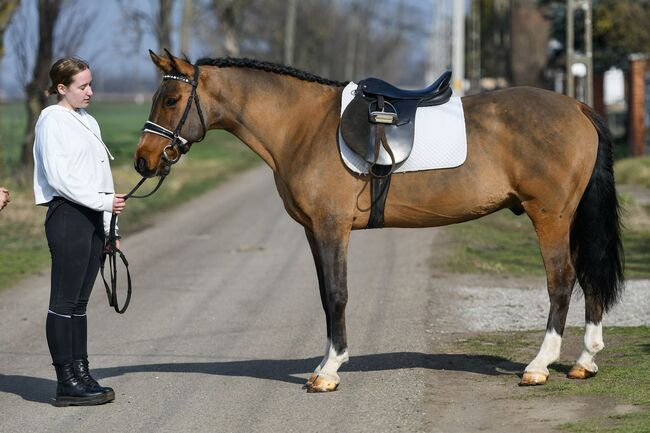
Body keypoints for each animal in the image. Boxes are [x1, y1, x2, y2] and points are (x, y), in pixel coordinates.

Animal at [133, 50, 624, 392]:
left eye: (172, 99)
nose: (143, 161)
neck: (303, 126)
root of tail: (577, 107)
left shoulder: (332, 227)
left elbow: (337, 294)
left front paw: (329, 371)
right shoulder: (313, 231)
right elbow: (324, 296)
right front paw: (325, 362)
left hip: (550, 215)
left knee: (561, 280)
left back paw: (539, 366)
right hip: (570, 218)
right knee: (587, 276)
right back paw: (585, 362)